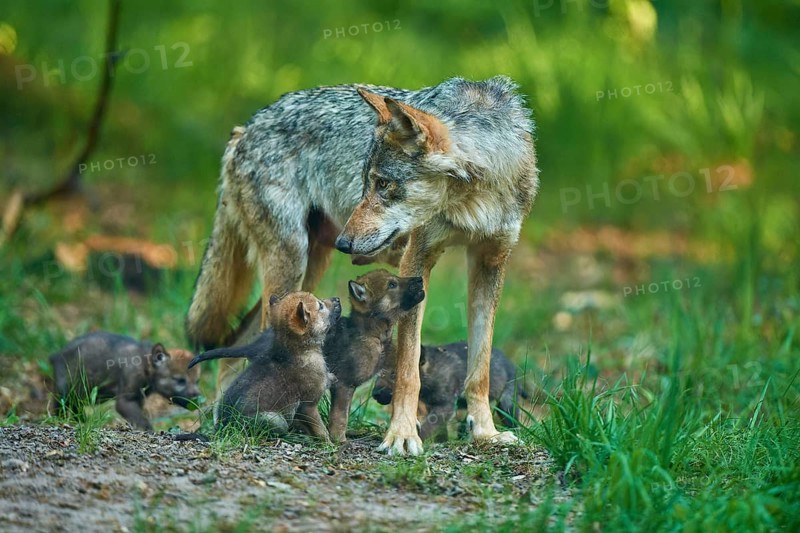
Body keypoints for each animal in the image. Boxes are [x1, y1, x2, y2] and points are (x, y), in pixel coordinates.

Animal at [186, 76, 538, 454]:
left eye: (384, 184)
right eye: (367, 181)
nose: (345, 244)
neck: (475, 197)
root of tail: (245, 128)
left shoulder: (490, 262)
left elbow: (480, 367)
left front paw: (485, 433)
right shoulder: (416, 262)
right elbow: (408, 370)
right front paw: (401, 435)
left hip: (308, 273)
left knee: (237, 339)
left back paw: (226, 420)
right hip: (293, 264)